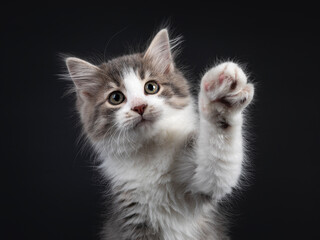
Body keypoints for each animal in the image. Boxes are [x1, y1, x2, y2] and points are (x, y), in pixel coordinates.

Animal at [65, 29, 255, 239]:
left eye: (151, 87)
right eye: (116, 98)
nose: (140, 106)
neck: (150, 150)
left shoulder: (201, 182)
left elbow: (219, 162)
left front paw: (221, 98)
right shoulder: (132, 214)